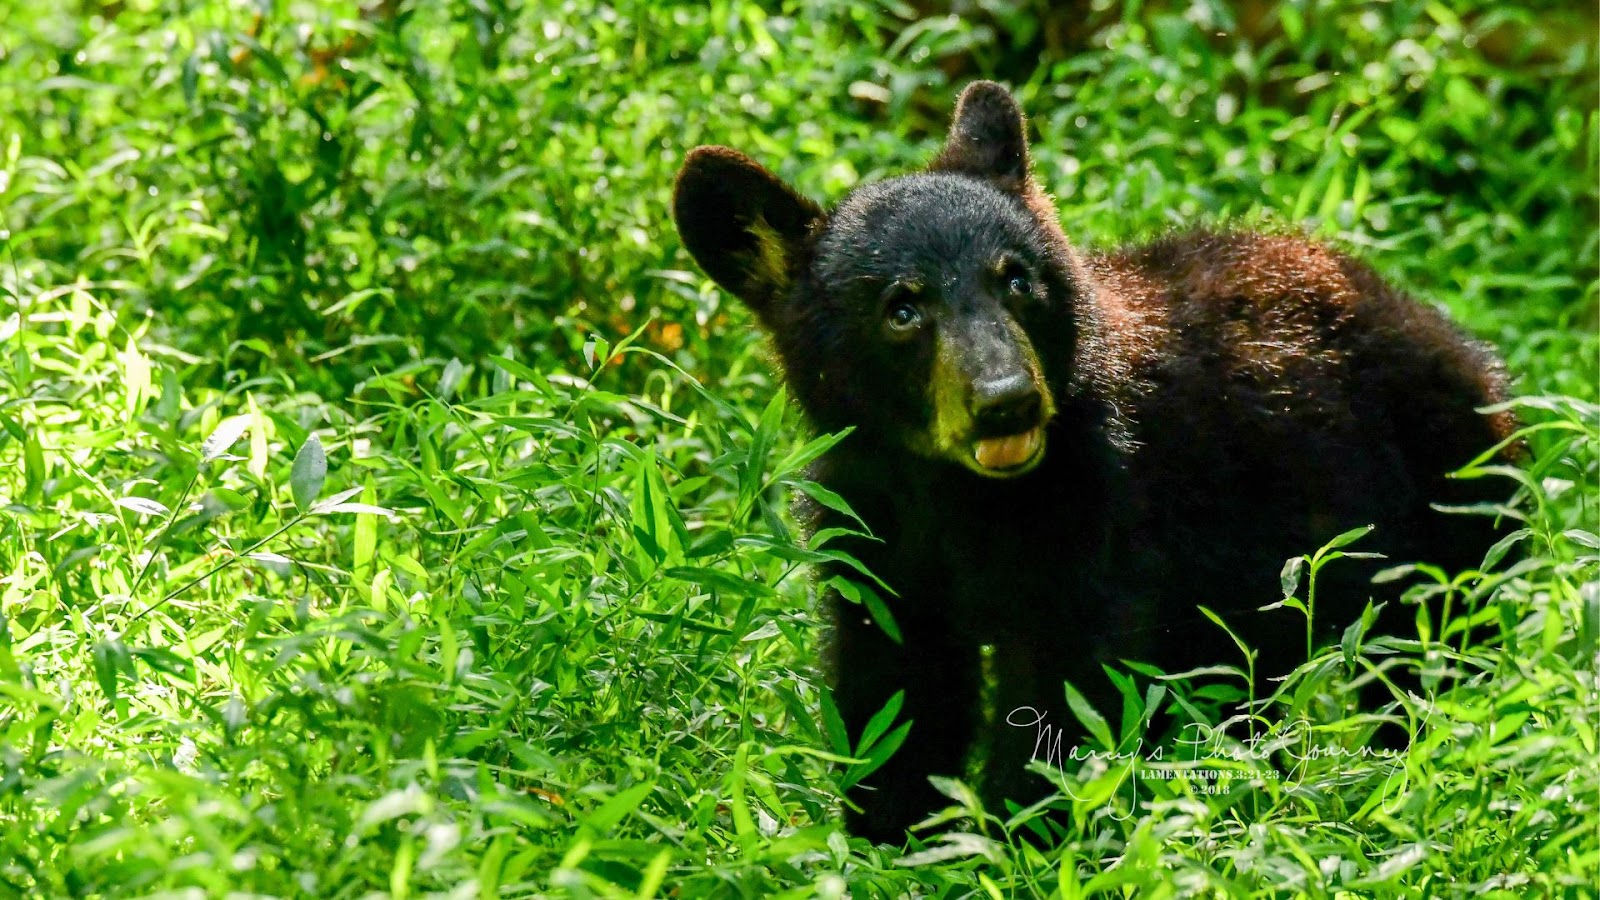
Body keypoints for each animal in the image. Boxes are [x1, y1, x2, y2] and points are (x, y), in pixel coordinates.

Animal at [668, 80, 1516, 839]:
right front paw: (892, 842)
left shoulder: (1100, 514)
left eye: (1016, 278)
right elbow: (896, 693)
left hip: (1444, 502)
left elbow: (1064, 696)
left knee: (1437, 647)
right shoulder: (873, 533)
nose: (1006, 399)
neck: (956, 497)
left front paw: (1016, 842)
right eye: (902, 308)